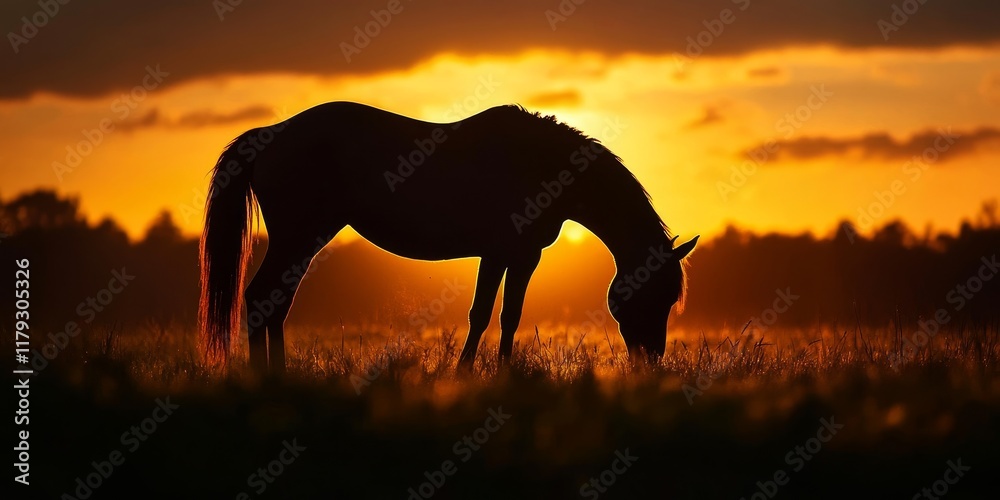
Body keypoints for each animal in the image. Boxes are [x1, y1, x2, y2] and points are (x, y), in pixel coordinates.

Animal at [199, 101, 697, 374]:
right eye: (656, 296)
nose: (652, 361)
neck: (543, 164)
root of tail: (270, 134)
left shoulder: (519, 255)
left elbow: (508, 316)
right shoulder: (505, 253)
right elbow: (485, 314)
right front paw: (468, 374)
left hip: (302, 239)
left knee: (274, 302)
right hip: (299, 235)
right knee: (262, 297)